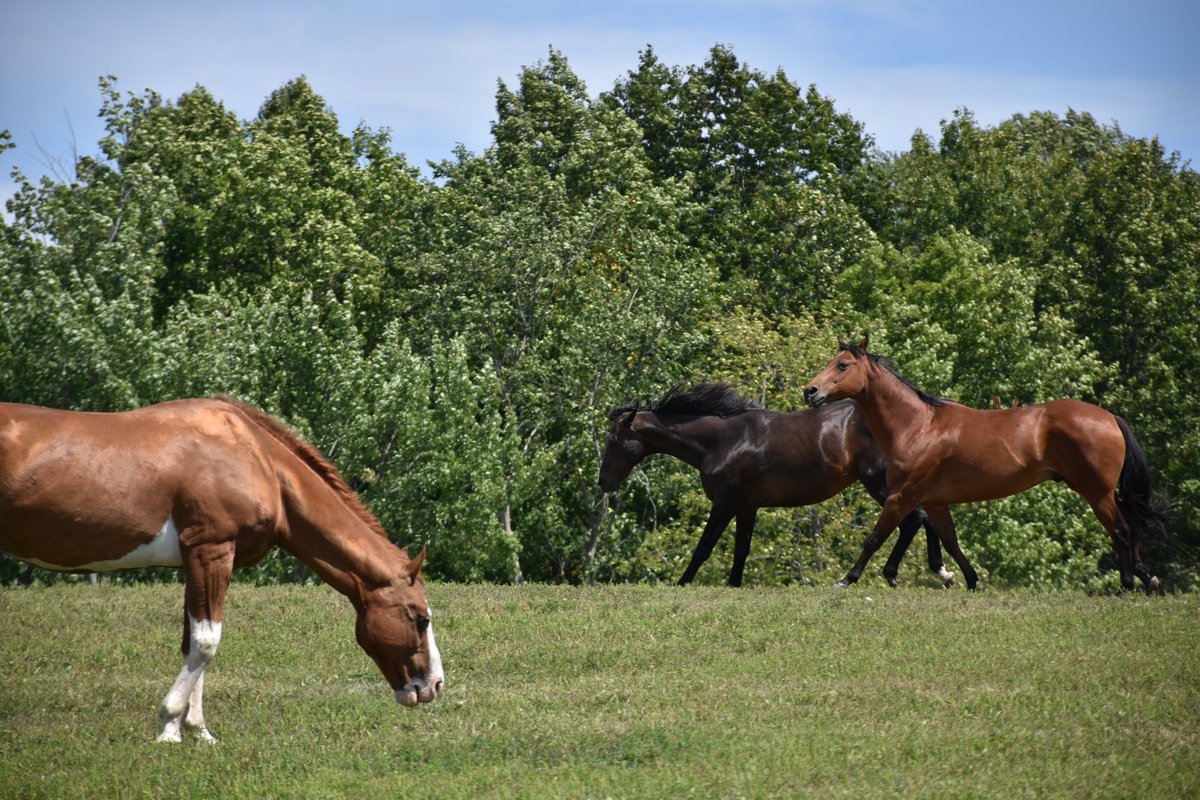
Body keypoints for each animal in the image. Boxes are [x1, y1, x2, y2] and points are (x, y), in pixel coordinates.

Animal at [0, 398, 446, 743]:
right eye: (420, 619)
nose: (434, 685)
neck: (256, 458)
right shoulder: (211, 551)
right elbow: (207, 640)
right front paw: (168, 724)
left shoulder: (195, 561)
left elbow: (191, 642)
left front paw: (194, 729)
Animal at [600, 383, 955, 592]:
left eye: (613, 440)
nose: (604, 482)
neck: (721, 440)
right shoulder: (747, 506)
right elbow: (741, 549)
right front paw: (734, 585)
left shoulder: (725, 504)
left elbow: (704, 548)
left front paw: (681, 583)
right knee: (922, 518)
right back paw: (941, 572)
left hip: (878, 483)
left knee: (913, 520)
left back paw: (885, 575)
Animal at [801, 338, 1166, 594]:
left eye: (843, 365)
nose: (810, 391)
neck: (918, 426)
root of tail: (1110, 418)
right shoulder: (935, 502)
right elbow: (951, 541)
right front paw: (971, 580)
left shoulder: (902, 495)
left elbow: (875, 538)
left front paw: (847, 579)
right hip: (1108, 492)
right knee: (1133, 525)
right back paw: (1147, 578)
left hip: (1096, 491)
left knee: (1120, 529)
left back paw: (1125, 586)